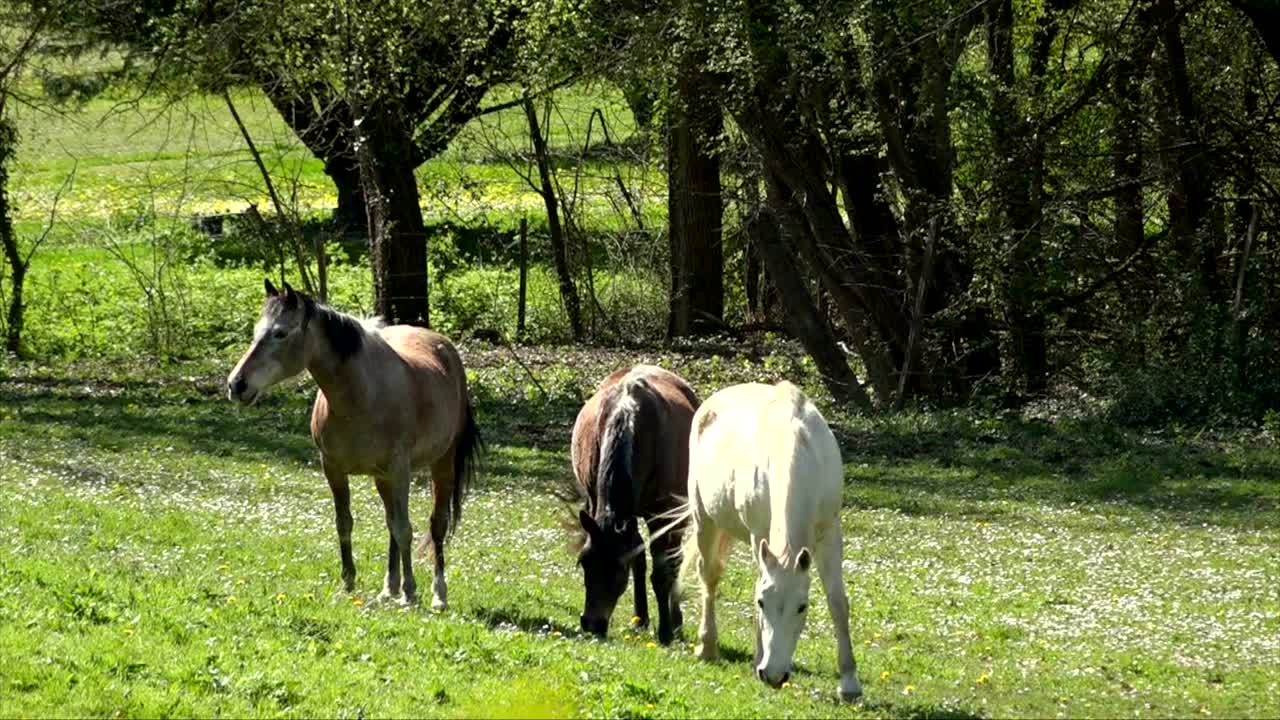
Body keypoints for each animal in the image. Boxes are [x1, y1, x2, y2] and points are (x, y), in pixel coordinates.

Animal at [226, 279, 481, 610]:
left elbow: (405, 529)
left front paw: (411, 592)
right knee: (391, 524)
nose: (236, 384)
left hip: (442, 463)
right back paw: (389, 588)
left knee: (435, 525)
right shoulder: (334, 469)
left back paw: (438, 595)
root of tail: (444, 347)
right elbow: (345, 522)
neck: (361, 395)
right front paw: (348, 582)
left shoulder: (399, 470)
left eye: (279, 333)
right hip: (382, 478)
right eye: (257, 330)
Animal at [567, 365, 699, 644]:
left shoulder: (662, 514)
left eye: (617, 569)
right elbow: (638, 558)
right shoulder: (596, 502)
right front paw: (646, 620)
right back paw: (641, 618)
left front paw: (666, 631)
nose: (592, 623)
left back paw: (675, 621)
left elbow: (661, 573)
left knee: (675, 560)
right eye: (584, 562)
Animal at [680, 381, 862, 701]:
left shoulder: (830, 532)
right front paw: (757, 659)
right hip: (704, 520)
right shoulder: (759, 536)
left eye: (802, 607)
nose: (775, 675)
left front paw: (850, 683)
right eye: (762, 603)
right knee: (709, 578)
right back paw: (707, 647)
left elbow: (838, 603)